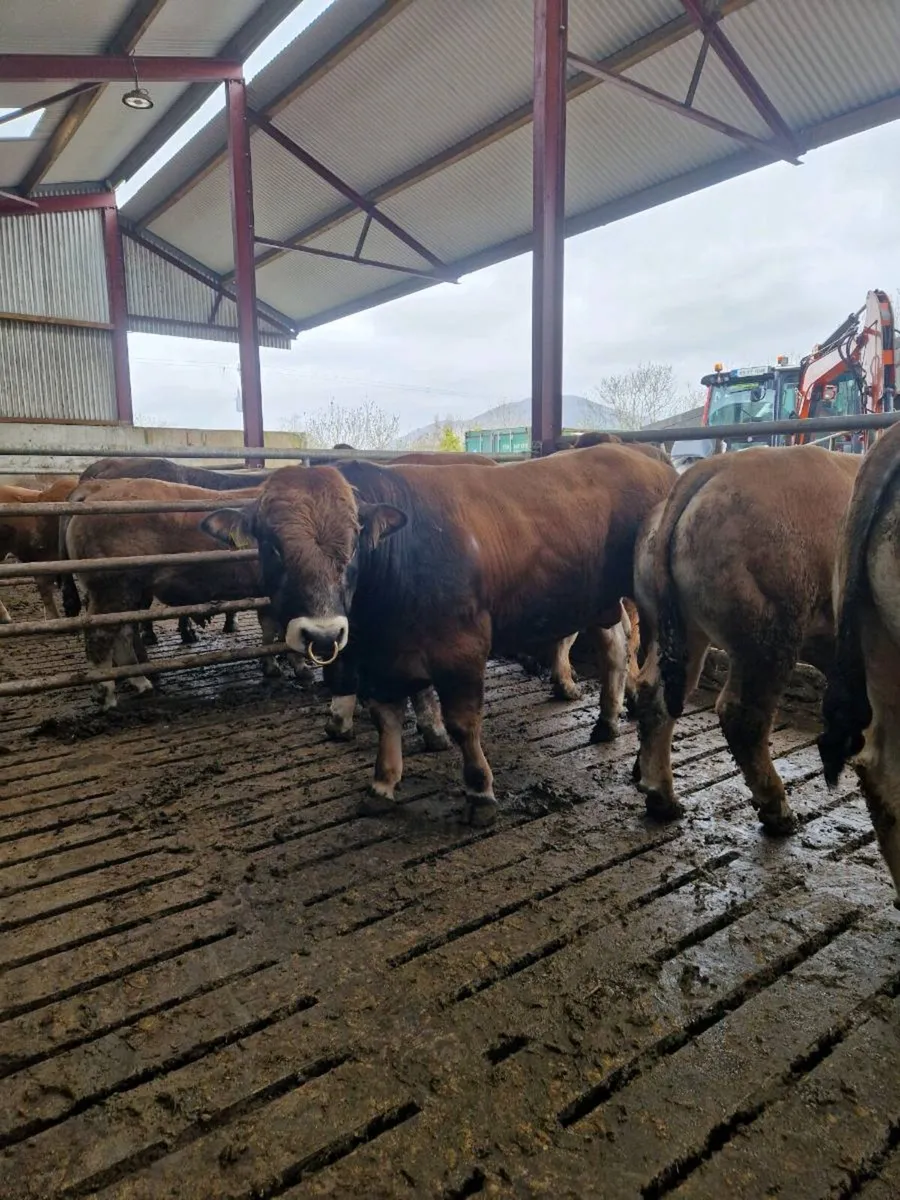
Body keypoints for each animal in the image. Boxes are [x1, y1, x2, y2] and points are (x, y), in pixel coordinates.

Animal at [63, 477, 307, 709]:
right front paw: (300, 666)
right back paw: (105, 694)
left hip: (127, 592)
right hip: (111, 588)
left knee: (123, 632)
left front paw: (272, 665)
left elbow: (271, 628)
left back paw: (141, 683)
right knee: (100, 634)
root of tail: (97, 490)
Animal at [203, 443, 677, 826]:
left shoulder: (462, 649)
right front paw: (382, 784)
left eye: (354, 544)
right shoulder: (381, 658)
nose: (323, 632)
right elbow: (386, 717)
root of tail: (644, 455)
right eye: (273, 545)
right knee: (615, 646)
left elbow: (463, 723)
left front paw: (480, 792)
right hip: (602, 599)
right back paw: (607, 721)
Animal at [632, 444, 861, 835]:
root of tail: (719, 465)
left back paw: (662, 797)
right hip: (768, 640)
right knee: (744, 715)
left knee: (654, 694)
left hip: (682, 633)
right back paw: (777, 810)